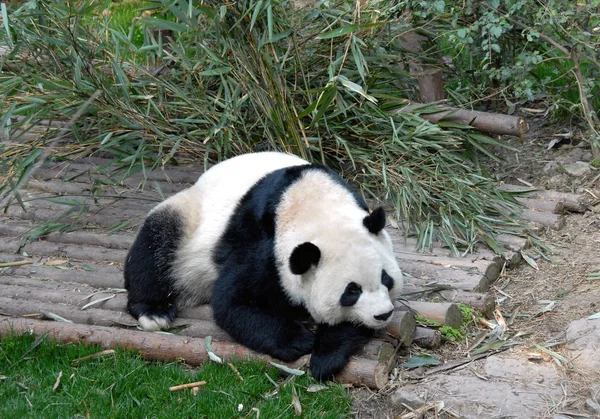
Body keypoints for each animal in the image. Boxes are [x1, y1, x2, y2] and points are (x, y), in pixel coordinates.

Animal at [123, 153, 404, 382]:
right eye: (351, 291)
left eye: (386, 278)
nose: (383, 314)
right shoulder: (262, 242)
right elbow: (234, 303)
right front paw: (300, 340)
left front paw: (327, 355)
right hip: (190, 218)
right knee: (156, 241)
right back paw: (154, 311)